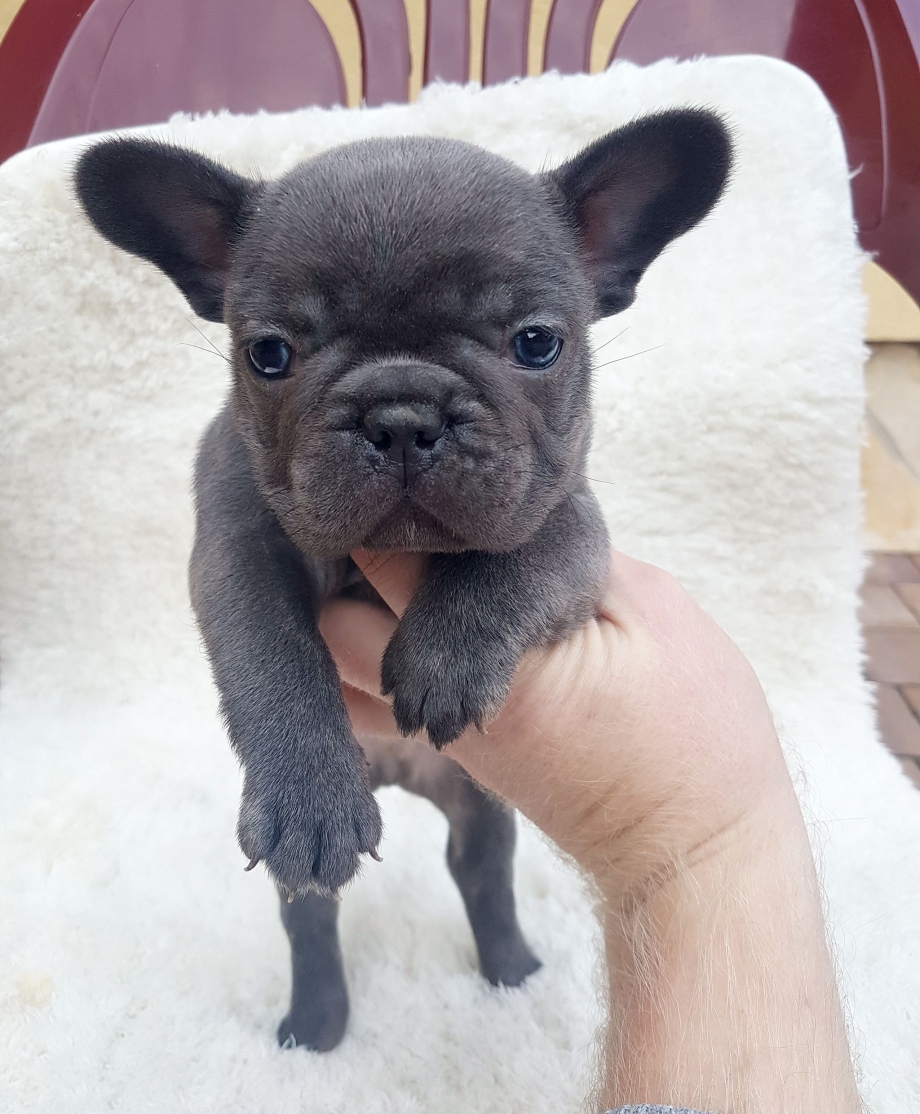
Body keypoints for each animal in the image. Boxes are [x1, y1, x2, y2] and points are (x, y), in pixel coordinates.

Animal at [74, 110, 730, 1050]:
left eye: (536, 343)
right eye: (268, 354)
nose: (402, 413)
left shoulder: (570, 522)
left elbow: (519, 557)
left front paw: (446, 655)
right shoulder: (234, 547)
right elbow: (271, 653)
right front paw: (308, 790)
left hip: (483, 808)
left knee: (481, 875)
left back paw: (511, 975)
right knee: (311, 913)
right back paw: (316, 1027)